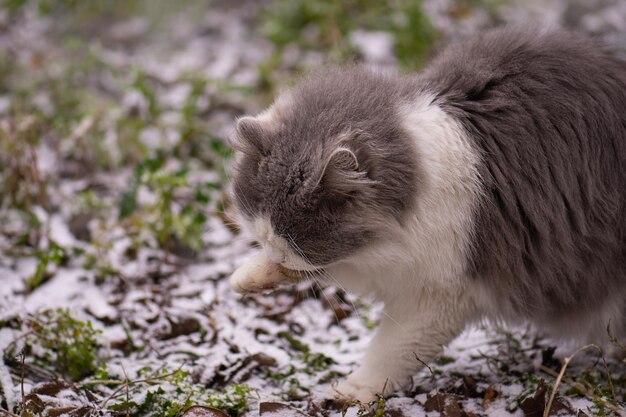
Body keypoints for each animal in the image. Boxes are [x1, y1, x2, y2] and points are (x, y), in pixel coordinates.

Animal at [227, 27, 620, 402]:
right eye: (264, 235)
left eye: (296, 240)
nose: (275, 252)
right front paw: (247, 277)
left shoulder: (441, 295)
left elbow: (390, 350)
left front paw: (353, 392)